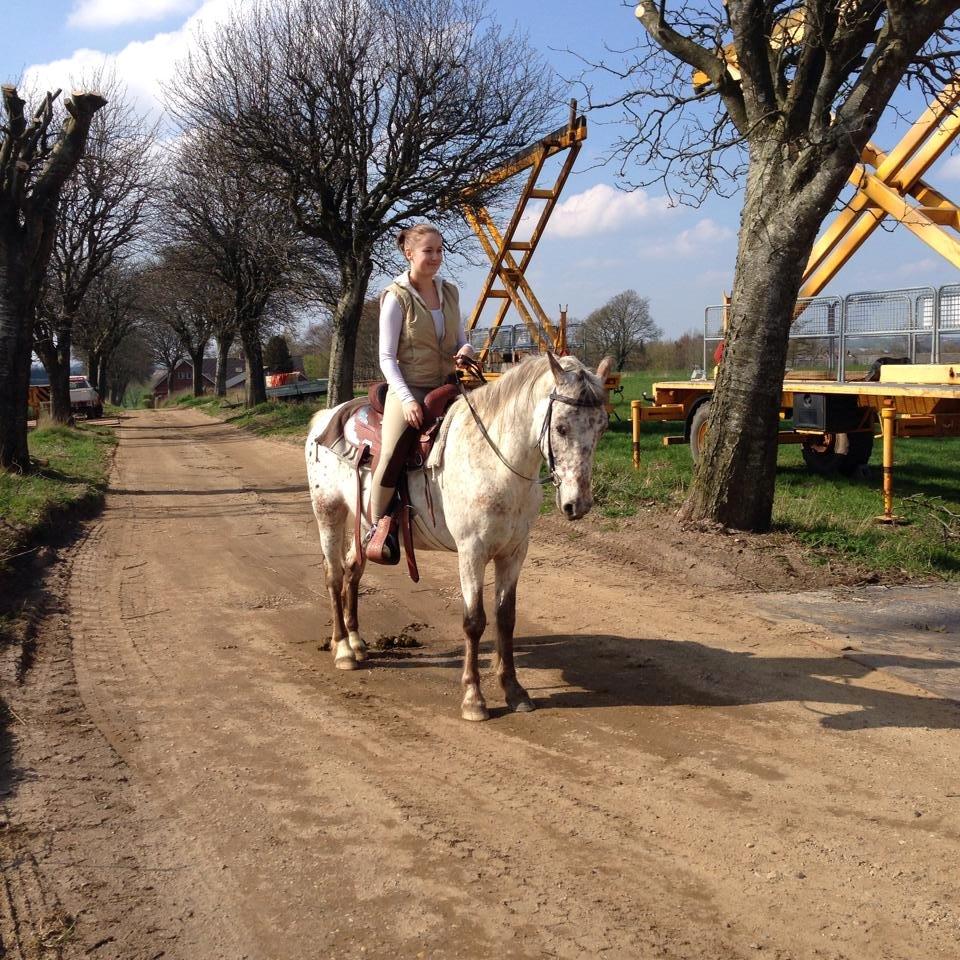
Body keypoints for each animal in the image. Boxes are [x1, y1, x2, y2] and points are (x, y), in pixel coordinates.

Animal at [304, 352, 612, 720]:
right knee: (334, 576)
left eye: (601, 426)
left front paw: (514, 689)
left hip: (364, 524)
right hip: (329, 512)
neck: (496, 462)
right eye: (562, 427)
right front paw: (474, 698)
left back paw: (355, 641)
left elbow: (505, 618)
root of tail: (327, 417)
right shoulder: (472, 552)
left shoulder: (514, 552)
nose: (578, 504)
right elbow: (474, 621)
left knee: (353, 571)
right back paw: (343, 650)